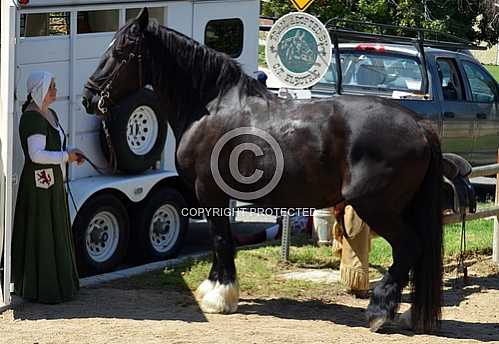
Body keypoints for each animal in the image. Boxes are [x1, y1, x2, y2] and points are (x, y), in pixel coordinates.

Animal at [83, 9, 446, 332]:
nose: (89, 97)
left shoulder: (208, 192)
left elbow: (220, 240)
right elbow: (220, 240)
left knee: (409, 248)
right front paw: (214, 287)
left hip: (377, 207)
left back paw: (379, 312)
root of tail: (419, 125)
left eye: (120, 52)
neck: (211, 108)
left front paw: (220, 296)